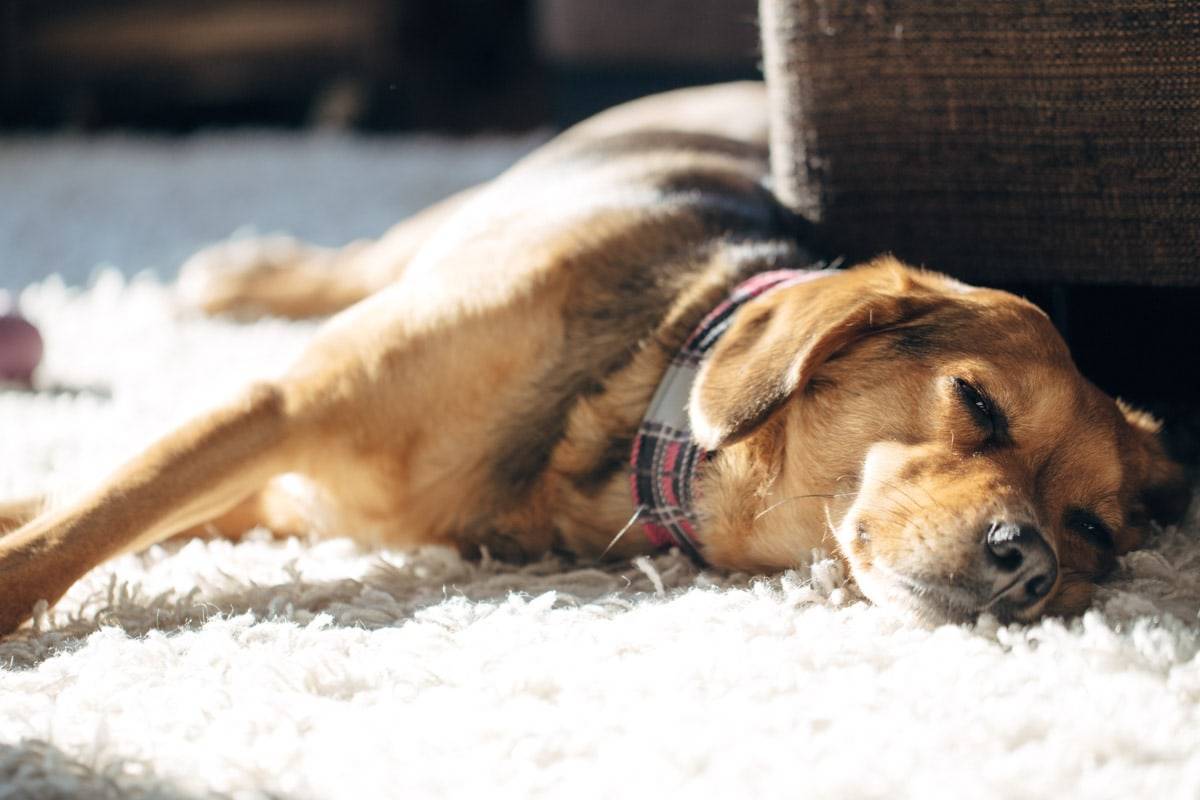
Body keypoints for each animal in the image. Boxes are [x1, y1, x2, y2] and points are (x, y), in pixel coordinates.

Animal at [0, 81, 1185, 633]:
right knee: (352, 260)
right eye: (977, 404)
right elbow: (83, 519)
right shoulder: (281, 405)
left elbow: (80, 501)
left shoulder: (281, 491)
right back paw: (243, 274)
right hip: (462, 216)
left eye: (1091, 530)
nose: (1031, 563)